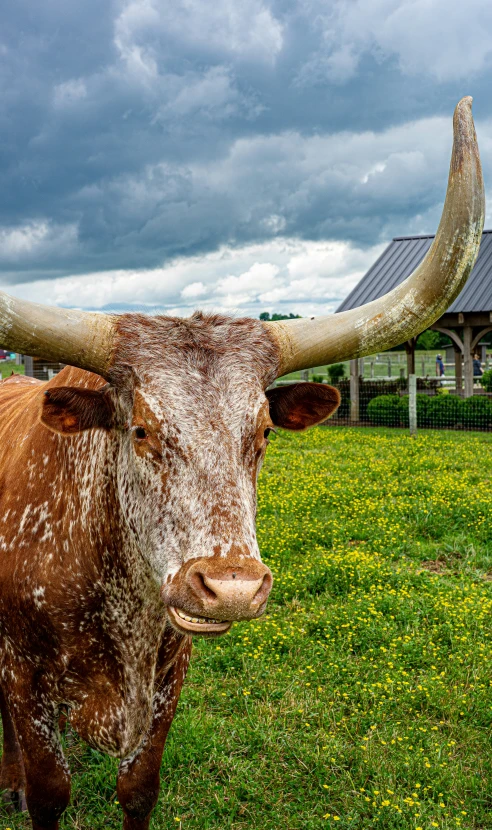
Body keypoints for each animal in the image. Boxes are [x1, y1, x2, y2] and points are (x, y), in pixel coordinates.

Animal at [0, 99, 484, 830]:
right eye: (140, 429)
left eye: (262, 432)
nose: (229, 586)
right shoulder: (23, 676)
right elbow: (50, 790)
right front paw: (28, 789)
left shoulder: (170, 675)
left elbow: (138, 788)